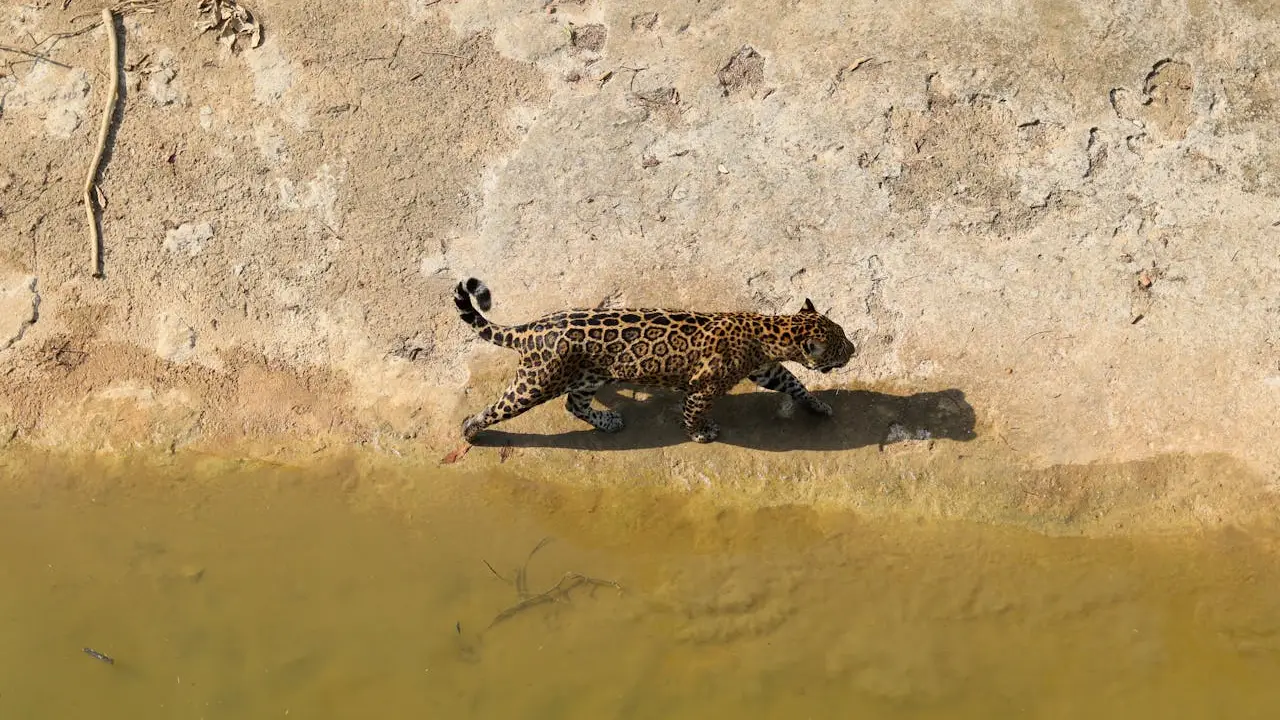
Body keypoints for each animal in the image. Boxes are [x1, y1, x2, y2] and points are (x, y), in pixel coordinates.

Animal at [454, 277, 856, 444]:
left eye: (842, 335)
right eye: (839, 346)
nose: (854, 350)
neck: (771, 331)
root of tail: (532, 327)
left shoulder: (766, 369)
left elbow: (795, 384)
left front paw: (818, 405)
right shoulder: (703, 386)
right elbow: (693, 412)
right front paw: (700, 434)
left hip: (589, 376)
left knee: (574, 404)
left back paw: (608, 421)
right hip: (536, 381)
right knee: (498, 408)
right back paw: (472, 432)